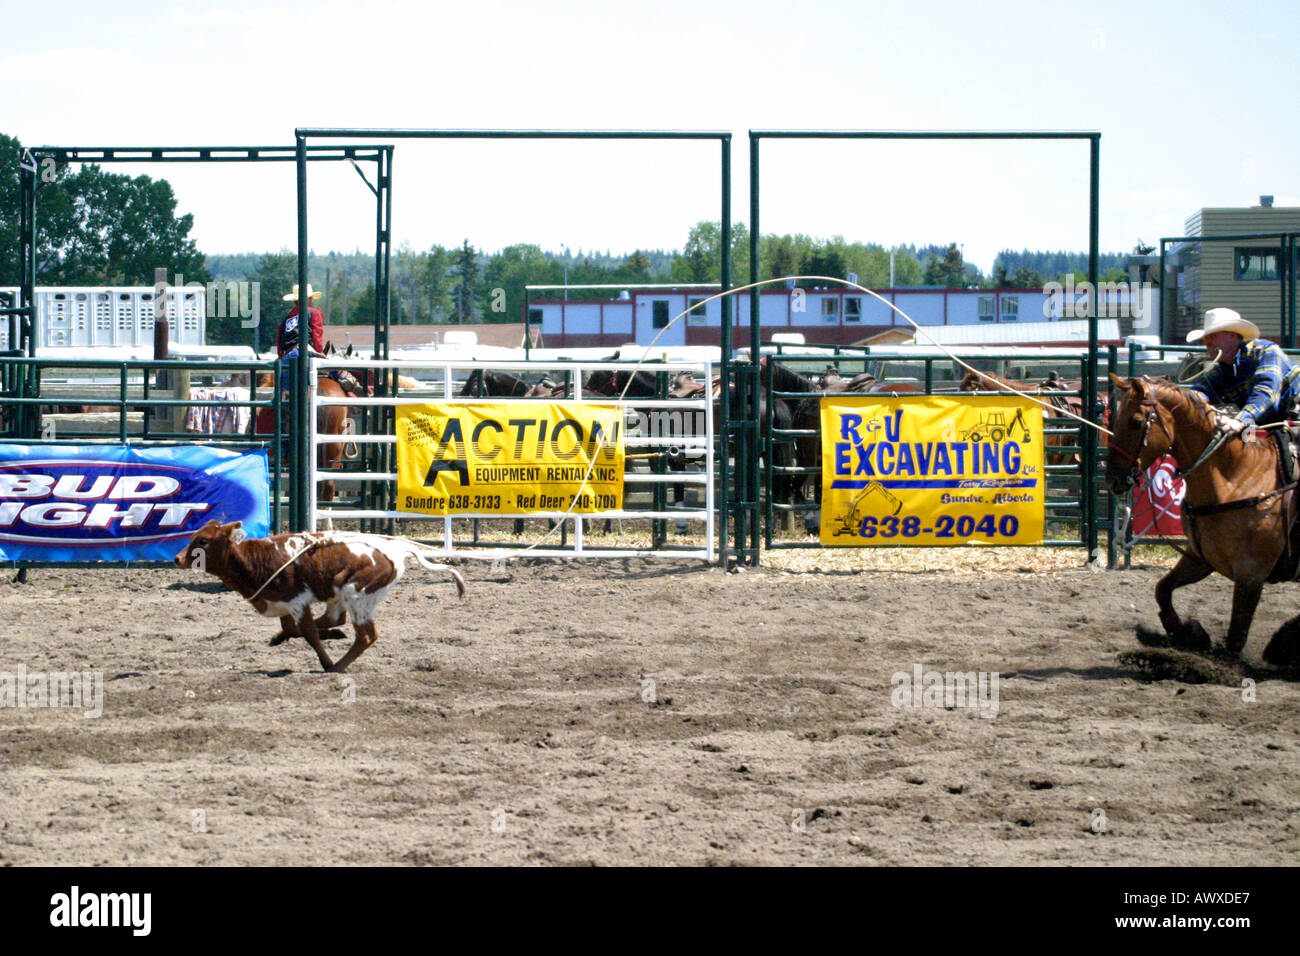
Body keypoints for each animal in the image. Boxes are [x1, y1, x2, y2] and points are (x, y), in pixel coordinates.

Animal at [175, 522, 465, 671]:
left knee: (366, 636)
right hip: (341, 596)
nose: (177, 558)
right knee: (338, 621)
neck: (255, 559)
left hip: (358, 595)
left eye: (202, 541)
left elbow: (308, 634)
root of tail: (394, 549)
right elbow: (294, 629)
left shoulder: (298, 602)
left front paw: (325, 659)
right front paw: (279, 638)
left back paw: (336, 666)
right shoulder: (284, 604)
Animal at [1107, 374, 1300, 665]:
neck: (1238, 476)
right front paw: (1187, 634)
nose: (1113, 478)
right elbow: (1162, 590)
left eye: (1136, 422)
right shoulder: (1200, 558)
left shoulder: (1251, 574)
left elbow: (1235, 638)